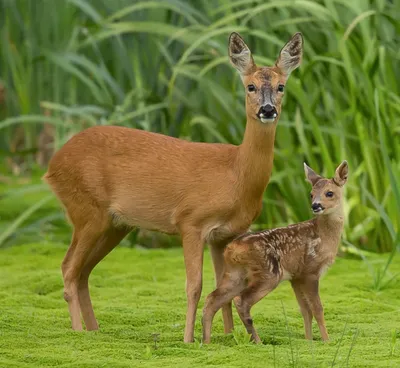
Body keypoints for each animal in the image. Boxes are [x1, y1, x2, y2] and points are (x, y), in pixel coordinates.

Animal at [43, 30, 304, 342]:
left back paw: (94, 331)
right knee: (68, 267)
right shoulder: (190, 221)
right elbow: (194, 286)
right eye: (250, 86)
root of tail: (52, 165)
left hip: (115, 224)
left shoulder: (224, 235)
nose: (267, 110)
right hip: (85, 209)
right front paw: (190, 340)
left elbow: (223, 286)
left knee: (83, 271)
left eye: (281, 86)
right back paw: (78, 332)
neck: (236, 174)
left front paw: (227, 337)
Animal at [202, 162, 348, 344]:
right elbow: (317, 309)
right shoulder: (310, 271)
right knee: (241, 300)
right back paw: (257, 341)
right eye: (311, 194)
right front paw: (326, 341)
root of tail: (232, 248)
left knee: (212, 299)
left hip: (235, 274)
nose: (315, 205)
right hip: (269, 274)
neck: (325, 236)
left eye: (329, 193)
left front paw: (309, 340)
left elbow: (305, 310)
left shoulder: (296, 276)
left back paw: (205, 341)